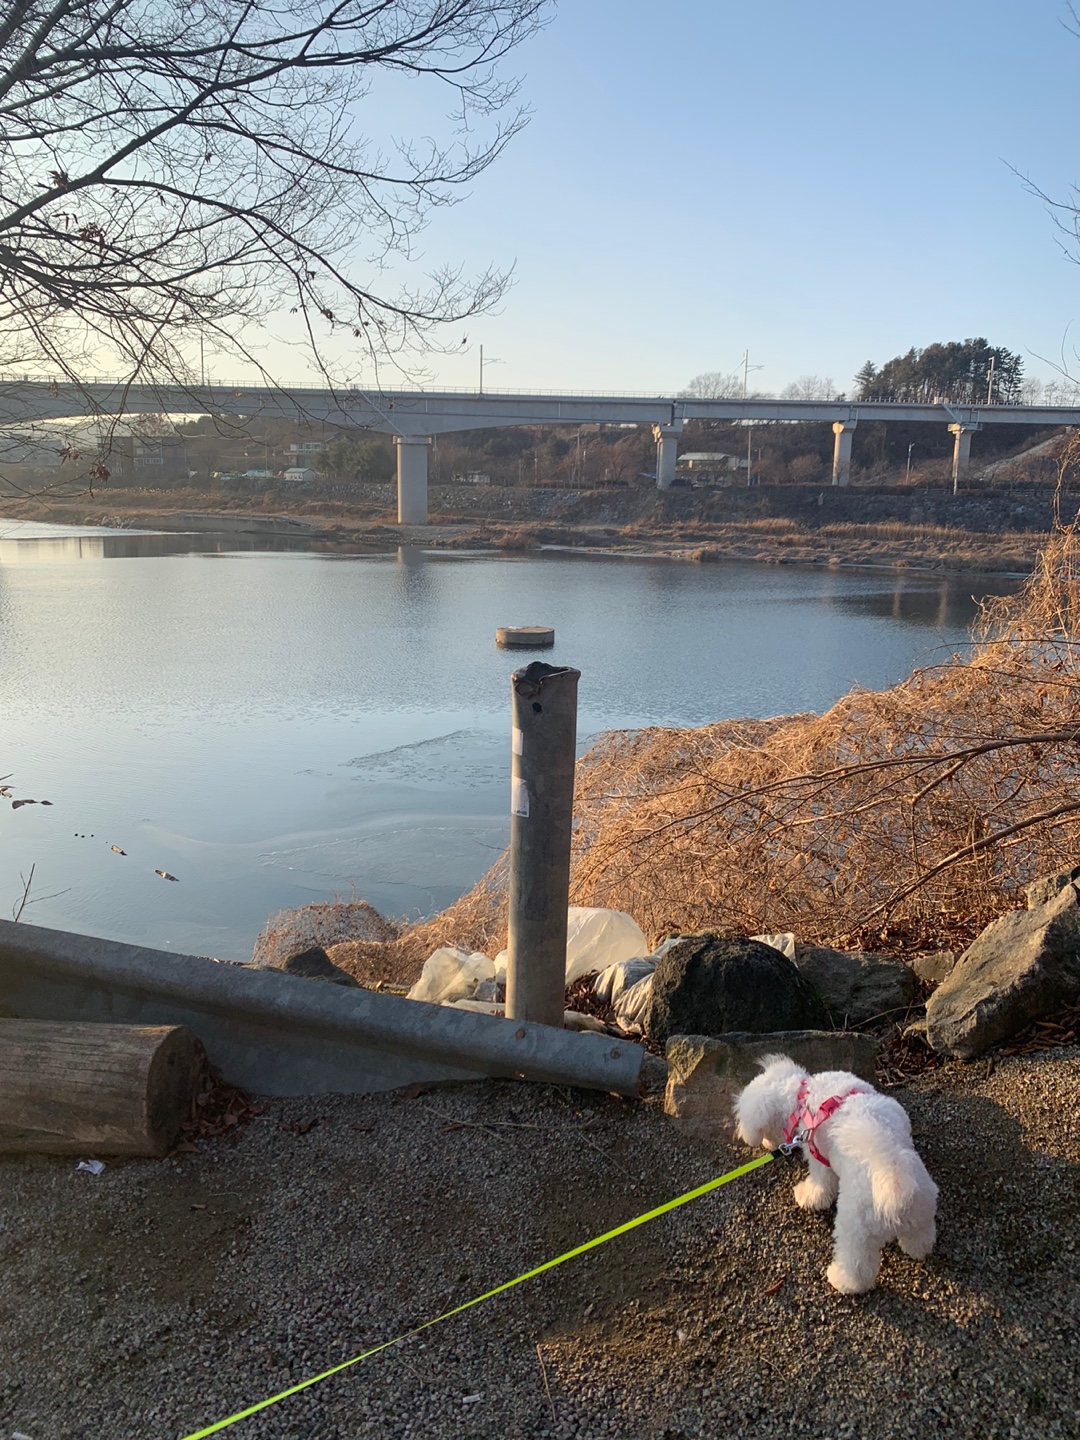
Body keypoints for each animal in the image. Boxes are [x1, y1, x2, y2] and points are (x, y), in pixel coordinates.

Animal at [737, 1059, 938, 1296]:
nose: (768, 1145)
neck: (803, 1096)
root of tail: (896, 1185)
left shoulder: (817, 1155)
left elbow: (821, 1184)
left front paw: (807, 1196)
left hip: (855, 1231)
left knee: (857, 1268)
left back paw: (840, 1279)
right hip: (922, 1213)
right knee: (920, 1239)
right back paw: (916, 1249)